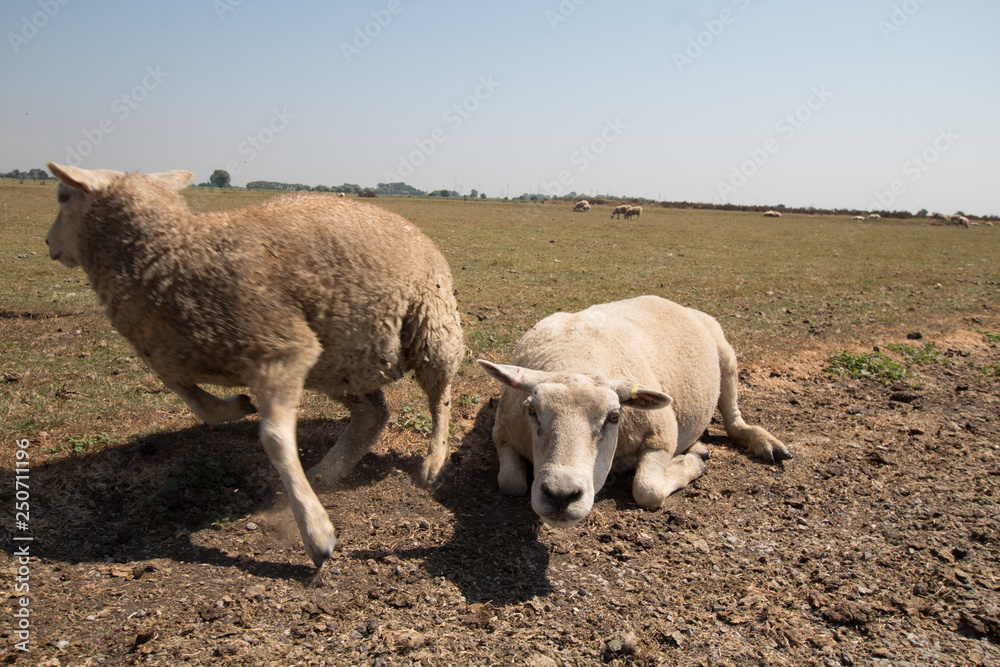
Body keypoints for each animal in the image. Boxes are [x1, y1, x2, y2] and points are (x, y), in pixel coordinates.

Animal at [44, 162, 464, 567]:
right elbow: (197, 402)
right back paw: (327, 471)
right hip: (340, 361)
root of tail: (408, 225)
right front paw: (237, 406)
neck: (173, 254)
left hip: (431, 323)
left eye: (63, 195)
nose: (48, 242)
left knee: (440, 396)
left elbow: (275, 439)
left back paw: (433, 459)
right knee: (373, 413)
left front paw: (316, 533)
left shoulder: (282, 350)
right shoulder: (172, 356)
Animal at [477, 295, 791, 528]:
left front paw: (691, 463)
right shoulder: (502, 434)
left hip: (726, 356)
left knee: (734, 419)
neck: (576, 357)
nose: (560, 495)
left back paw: (763, 442)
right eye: (531, 410)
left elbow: (647, 491)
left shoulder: (664, 437)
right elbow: (511, 482)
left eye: (614, 417)